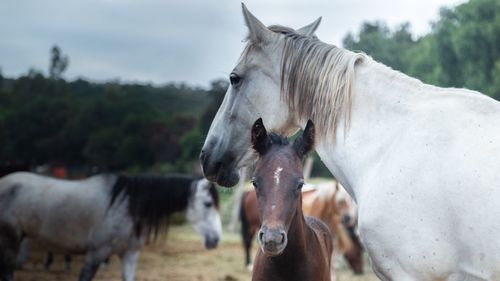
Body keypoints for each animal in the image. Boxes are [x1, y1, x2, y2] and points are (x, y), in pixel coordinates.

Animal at [0, 171, 223, 280]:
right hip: (10, 240)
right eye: (208, 203)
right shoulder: (96, 254)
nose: (216, 239)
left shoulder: (130, 255)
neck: (127, 205)